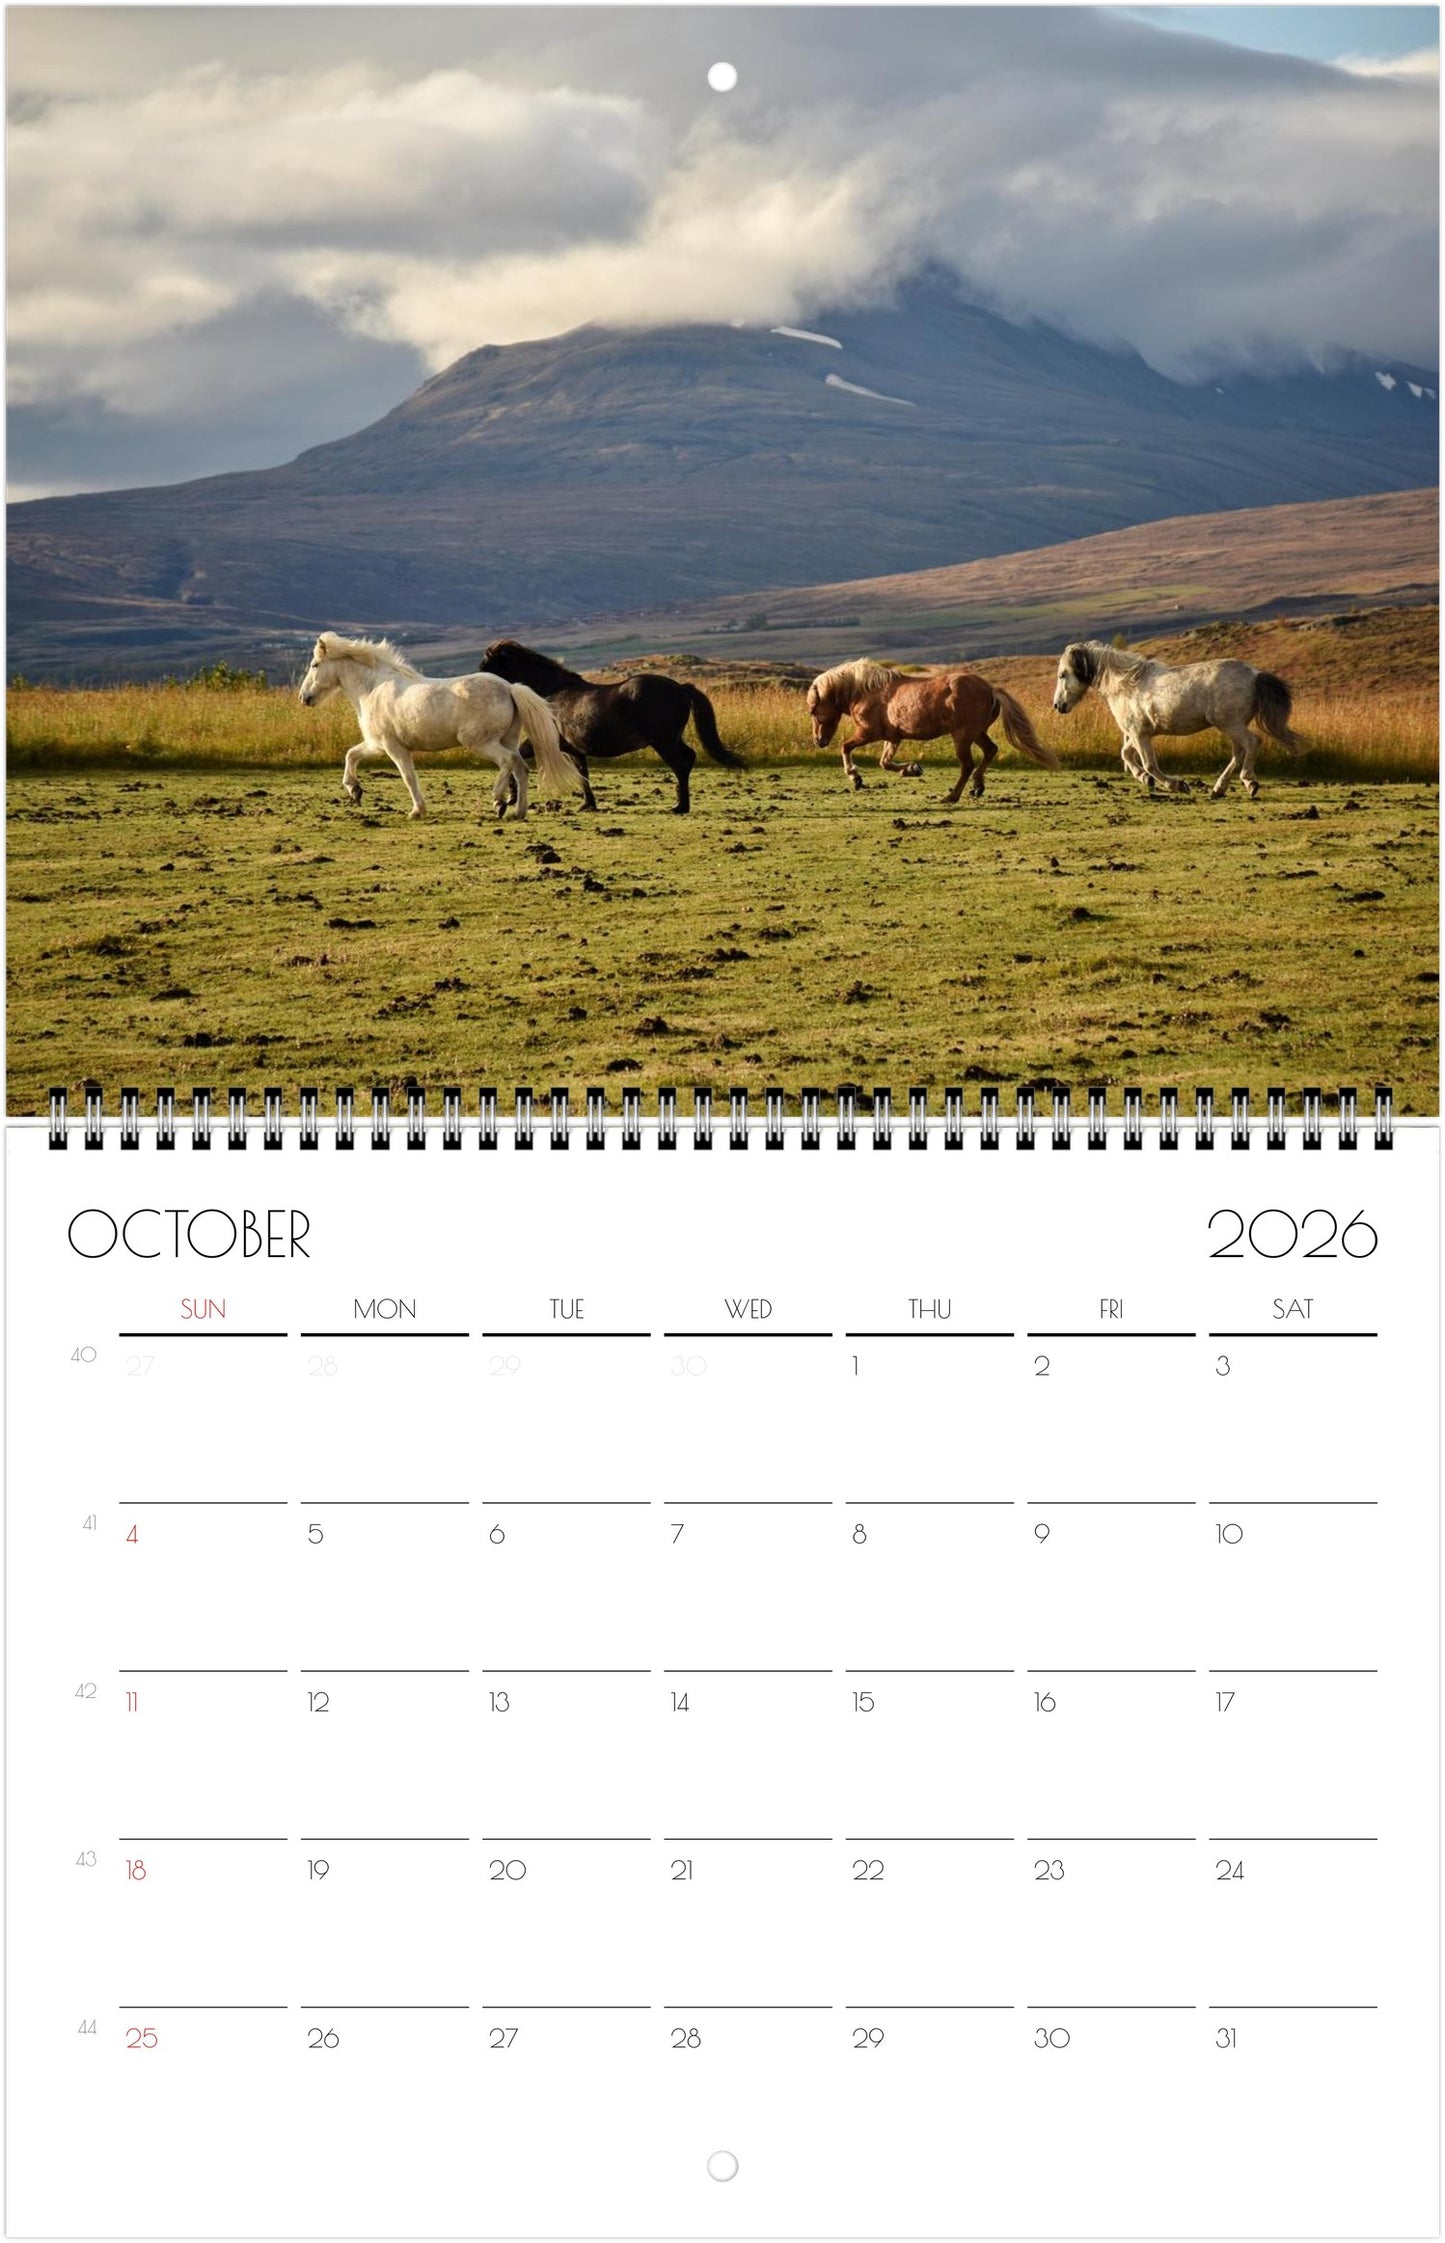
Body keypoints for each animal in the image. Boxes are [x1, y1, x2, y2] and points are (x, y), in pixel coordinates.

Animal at [297, 632, 584, 820]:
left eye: (315, 665)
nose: (304, 697)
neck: (373, 688)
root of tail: (510, 688)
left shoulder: (393, 747)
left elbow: (408, 777)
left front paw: (416, 811)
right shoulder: (376, 744)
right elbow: (351, 755)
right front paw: (354, 790)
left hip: (481, 743)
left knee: (508, 762)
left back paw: (498, 802)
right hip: (507, 739)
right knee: (521, 767)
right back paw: (518, 811)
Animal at [481, 641, 739, 814]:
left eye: (488, 663)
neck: (550, 694)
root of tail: (681, 688)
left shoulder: (543, 742)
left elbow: (513, 758)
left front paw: (505, 800)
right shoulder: (574, 750)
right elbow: (583, 775)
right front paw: (588, 804)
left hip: (663, 742)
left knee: (681, 765)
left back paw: (680, 806)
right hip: (672, 739)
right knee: (689, 758)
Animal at [805, 660, 1059, 797]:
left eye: (813, 710)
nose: (819, 740)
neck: (866, 691)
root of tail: (990, 689)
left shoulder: (868, 733)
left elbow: (845, 747)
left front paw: (855, 777)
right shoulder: (893, 737)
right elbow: (885, 762)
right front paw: (912, 769)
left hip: (962, 737)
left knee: (968, 765)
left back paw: (952, 797)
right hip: (977, 734)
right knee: (990, 751)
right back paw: (977, 787)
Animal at [1051, 641, 1302, 799]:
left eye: (1063, 675)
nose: (1058, 706)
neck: (1125, 685)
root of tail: (1255, 674)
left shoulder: (1139, 734)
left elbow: (1149, 764)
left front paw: (1177, 785)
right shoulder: (1137, 733)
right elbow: (1126, 754)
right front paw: (1145, 780)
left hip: (1231, 724)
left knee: (1252, 744)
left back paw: (1250, 783)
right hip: (1233, 725)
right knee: (1239, 752)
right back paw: (1218, 790)